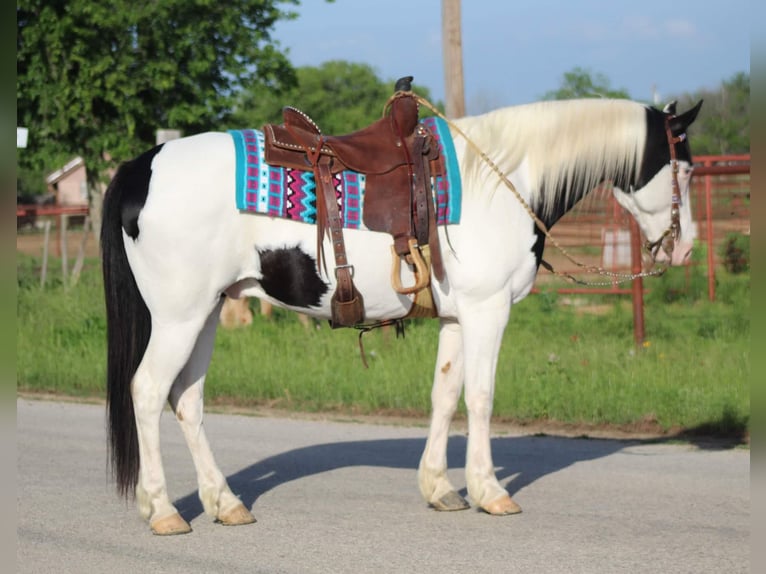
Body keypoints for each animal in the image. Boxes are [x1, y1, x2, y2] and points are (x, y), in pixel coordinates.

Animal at [105, 92, 704, 536]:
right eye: (686, 171)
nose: (685, 249)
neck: (503, 182)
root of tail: (142, 165)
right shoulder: (487, 312)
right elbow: (481, 397)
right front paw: (490, 491)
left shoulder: (458, 318)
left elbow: (445, 395)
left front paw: (440, 488)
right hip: (179, 318)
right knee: (148, 391)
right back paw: (163, 510)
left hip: (207, 312)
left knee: (187, 400)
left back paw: (225, 503)